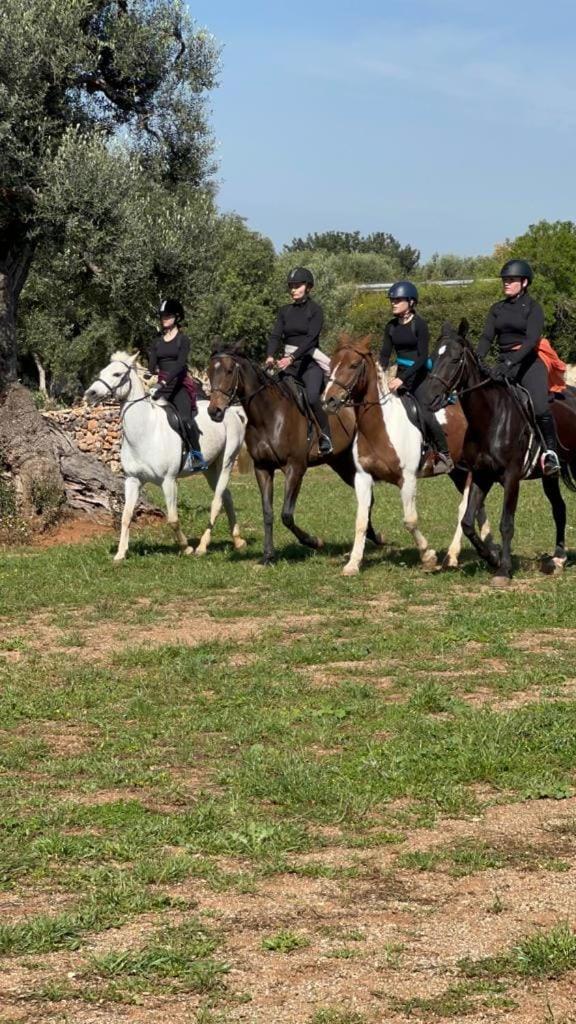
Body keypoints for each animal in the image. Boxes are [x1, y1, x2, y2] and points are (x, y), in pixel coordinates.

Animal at [84, 352, 245, 561]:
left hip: (226, 462)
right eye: (102, 372)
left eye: (117, 374)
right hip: (210, 468)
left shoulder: (169, 481)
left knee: (217, 501)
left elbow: (173, 519)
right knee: (227, 496)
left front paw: (185, 548)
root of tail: (231, 411)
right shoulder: (132, 480)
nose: (90, 393)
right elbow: (126, 516)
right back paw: (238, 541)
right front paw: (120, 554)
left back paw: (202, 546)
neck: (145, 433)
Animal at [203, 346, 383, 569]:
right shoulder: (263, 469)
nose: (214, 411)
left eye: (229, 371)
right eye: (210, 371)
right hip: (340, 463)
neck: (268, 415)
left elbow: (286, 515)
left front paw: (314, 541)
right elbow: (268, 513)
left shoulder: (295, 469)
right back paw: (373, 537)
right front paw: (268, 556)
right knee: (368, 498)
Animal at [317, 335, 487, 577]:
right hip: (458, 472)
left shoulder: (407, 479)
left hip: (469, 470)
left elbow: (410, 520)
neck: (380, 427)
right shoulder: (363, 477)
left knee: (464, 508)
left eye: (354, 365)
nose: (328, 400)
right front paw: (353, 564)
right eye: (331, 364)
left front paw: (428, 556)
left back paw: (452, 556)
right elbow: (361, 520)